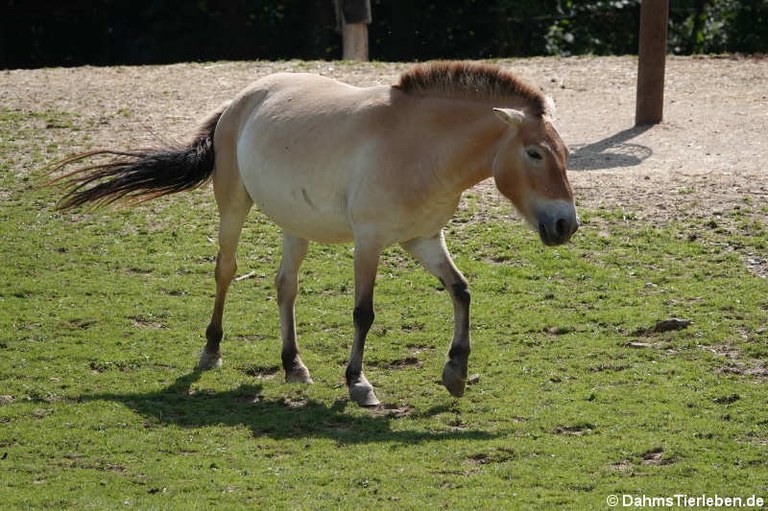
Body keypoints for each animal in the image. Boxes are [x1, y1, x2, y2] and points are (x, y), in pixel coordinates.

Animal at [52, 62, 576, 408]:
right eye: (533, 153)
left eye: (565, 153)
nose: (565, 224)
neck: (420, 147)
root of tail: (243, 98)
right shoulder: (370, 241)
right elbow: (364, 312)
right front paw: (359, 383)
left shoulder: (423, 238)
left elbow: (462, 291)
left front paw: (456, 373)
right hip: (233, 206)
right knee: (226, 271)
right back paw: (211, 351)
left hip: (294, 225)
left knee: (285, 286)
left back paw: (293, 365)